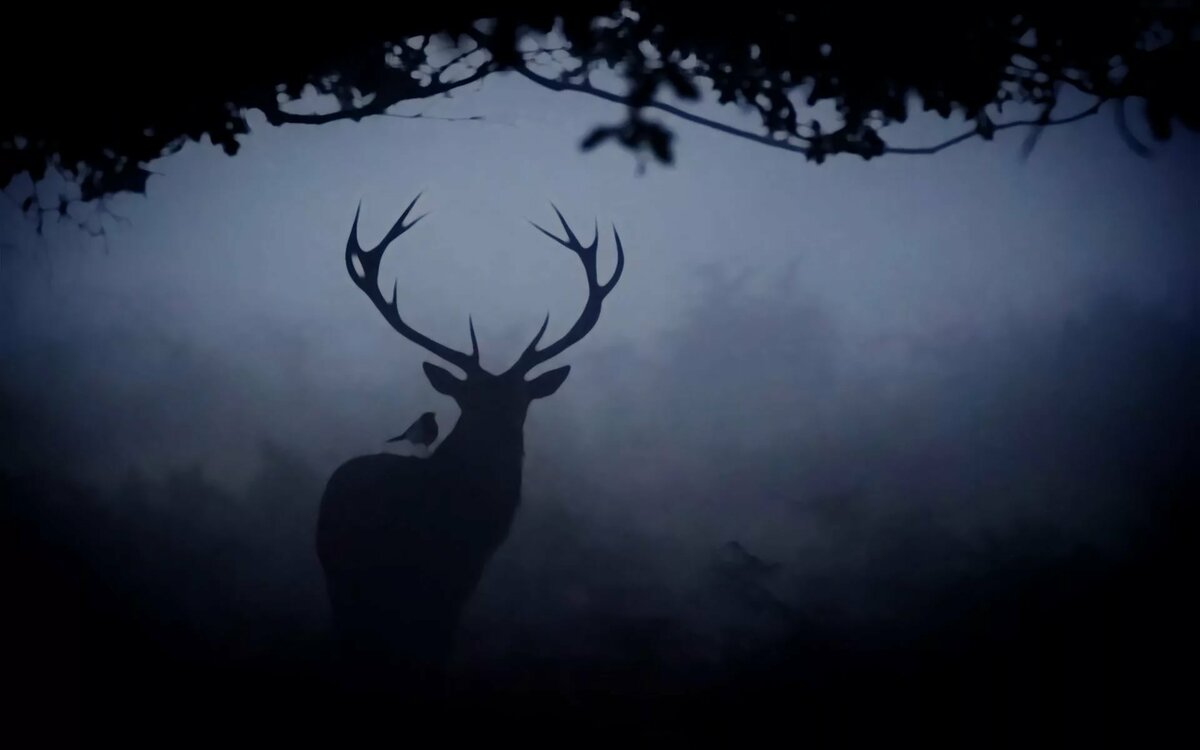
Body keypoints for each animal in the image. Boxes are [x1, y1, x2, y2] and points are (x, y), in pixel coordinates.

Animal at [315, 194, 624, 696]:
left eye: (521, 402)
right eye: (468, 400)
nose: (501, 443)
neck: (453, 524)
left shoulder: (459, 586)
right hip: (341, 579)